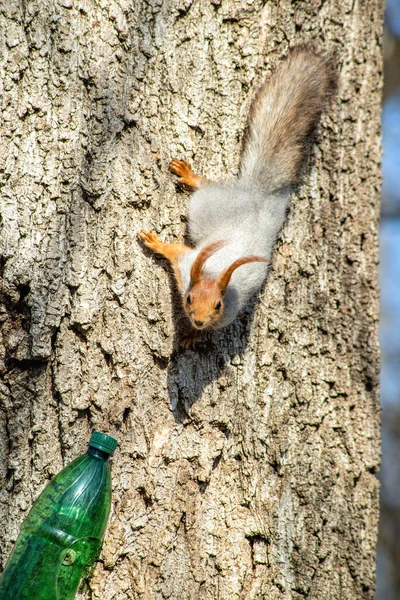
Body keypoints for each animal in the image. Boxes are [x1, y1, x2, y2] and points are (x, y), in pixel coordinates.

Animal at [139, 45, 336, 346]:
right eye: (188, 298)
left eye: (218, 305)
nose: (198, 321)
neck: (213, 273)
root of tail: (256, 195)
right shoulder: (186, 265)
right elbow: (173, 250)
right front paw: (155, 242)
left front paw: (192, 335)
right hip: (206, 205)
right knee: (205, 186)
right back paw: (189, 174)